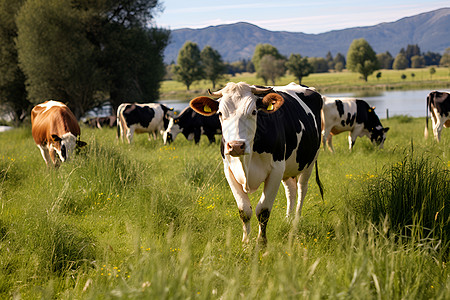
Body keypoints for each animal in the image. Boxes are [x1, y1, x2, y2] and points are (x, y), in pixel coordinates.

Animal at [190, 82, 324, 244]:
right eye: (220, 113)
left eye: (254, 112)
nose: (236, 145)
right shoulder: (229, 171)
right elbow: (244, 210)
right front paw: (246, 243)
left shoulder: (275, 170)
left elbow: (263, 210)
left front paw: (261, 243)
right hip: (287, 169)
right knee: (290, 190)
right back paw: (288, 220)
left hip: (309, 162)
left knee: (301, 189)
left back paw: (295, 222)